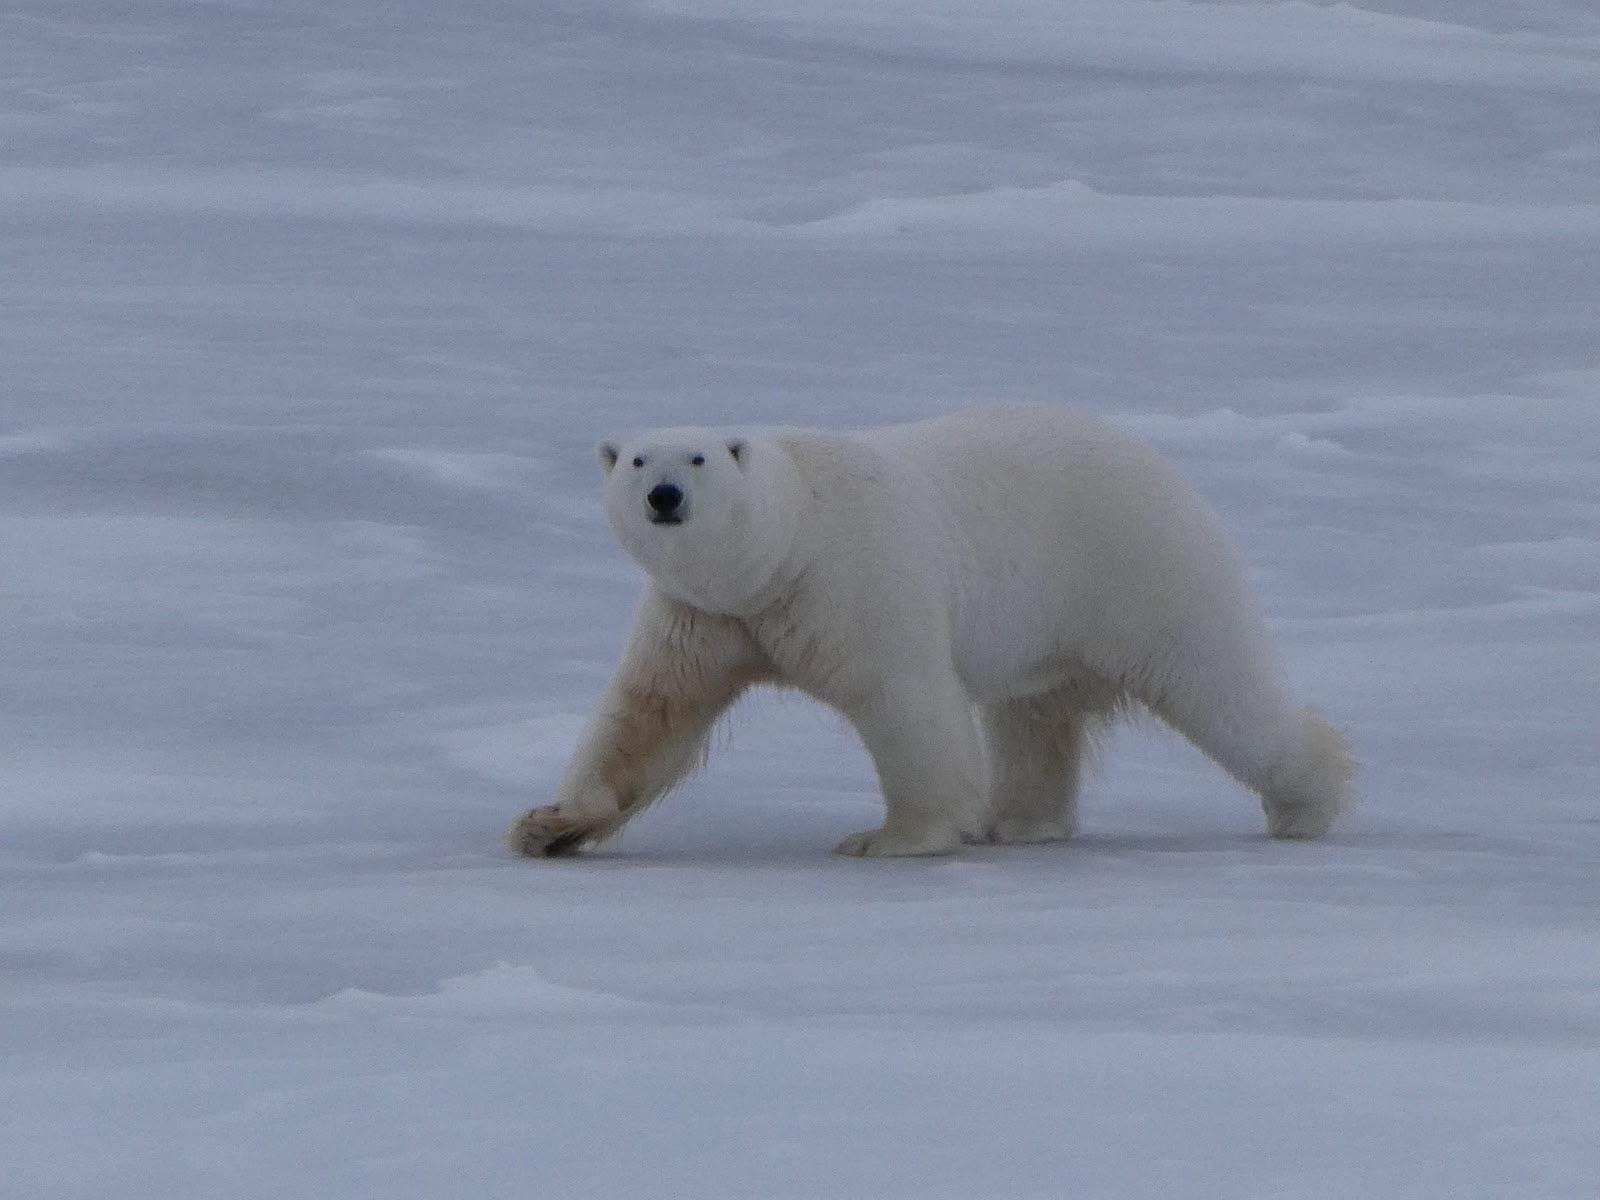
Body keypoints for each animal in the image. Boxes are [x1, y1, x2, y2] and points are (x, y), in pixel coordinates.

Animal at [507, 405, 1354, 858]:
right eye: (636, 460)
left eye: (699, 458)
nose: (665, 495)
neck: (786, 545)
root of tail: (1157, 463)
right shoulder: (705, 616)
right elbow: (648, 713)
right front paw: (549, 825)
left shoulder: (851, 581)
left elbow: (904, 701)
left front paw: (890, 837)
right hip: (1049, 627)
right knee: (1033, 717)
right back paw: (1020, 821)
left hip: (1137, 568)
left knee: (1221, 688)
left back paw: (1308, 802)